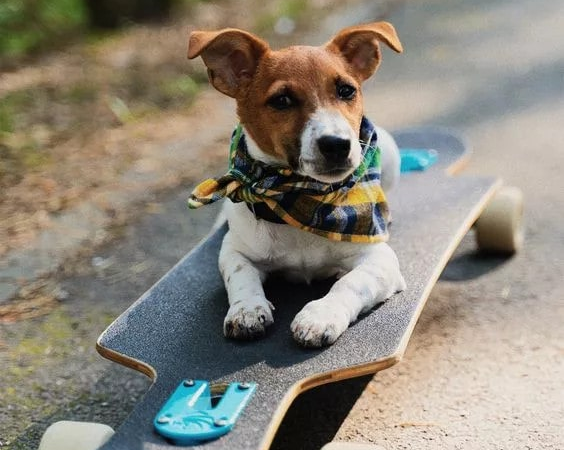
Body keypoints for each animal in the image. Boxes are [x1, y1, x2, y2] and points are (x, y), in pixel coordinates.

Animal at [188, 22, 406, 348]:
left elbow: (349, 283)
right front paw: (247, 309)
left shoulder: (380, 259)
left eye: (346, 90)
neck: (301, 197)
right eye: (282, 100)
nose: (337, 144)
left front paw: (321, 315)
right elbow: (240, 275)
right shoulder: (234, 250)